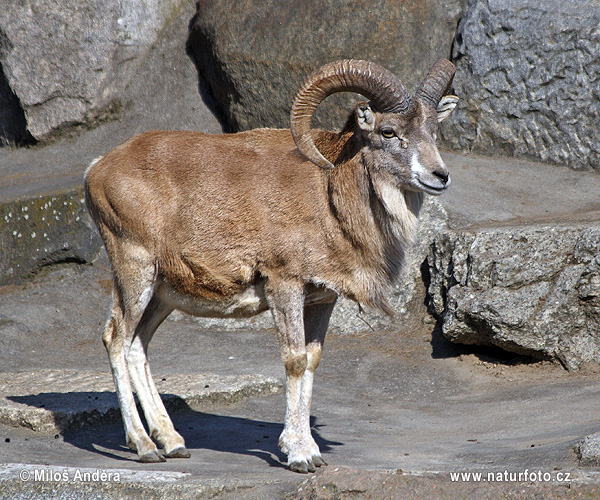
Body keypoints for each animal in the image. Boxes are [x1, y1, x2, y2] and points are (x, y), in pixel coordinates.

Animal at [84, 58, 458, 472]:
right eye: (388, 131)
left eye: (434, 130)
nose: (439, 176)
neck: (328, 196)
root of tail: (97, 169)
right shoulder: (285, 285)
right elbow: (294, 361)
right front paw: (300, 455)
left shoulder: (322, 300)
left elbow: (311, 361)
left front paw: (307, 448)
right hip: (134, 272)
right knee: (117, 339)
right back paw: (144, 446)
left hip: (162, 294)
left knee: (138, 346)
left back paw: (173, 442)